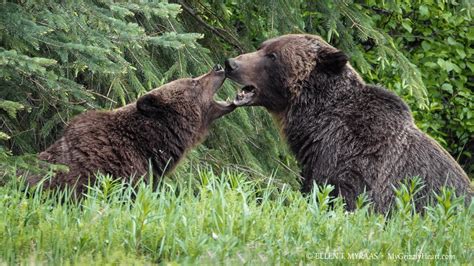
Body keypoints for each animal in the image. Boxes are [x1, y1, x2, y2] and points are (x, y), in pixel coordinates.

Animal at [224, 34, 472, 212]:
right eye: (262, 46)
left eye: (273, 56)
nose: (231, 63)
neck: (316, 123)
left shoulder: (354, 161)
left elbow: (345, 199)